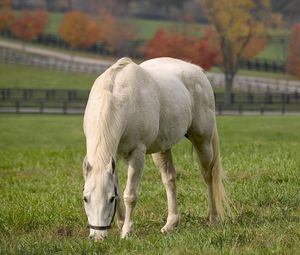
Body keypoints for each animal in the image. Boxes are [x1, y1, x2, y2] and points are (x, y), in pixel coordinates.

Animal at [81, 56, 227, 240]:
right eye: (85, 198)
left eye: (110, 199)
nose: (97, 237)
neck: (119, 96)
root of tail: (197, 70)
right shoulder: (113, 157)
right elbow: (120, 189)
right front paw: (121, 223)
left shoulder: (137, 154)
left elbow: (130, 194)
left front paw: (127, 231)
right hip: (162, 148)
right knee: (170, 180)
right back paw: (171, 224)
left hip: (203, 141)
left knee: (209, 176)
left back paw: (213, 218)